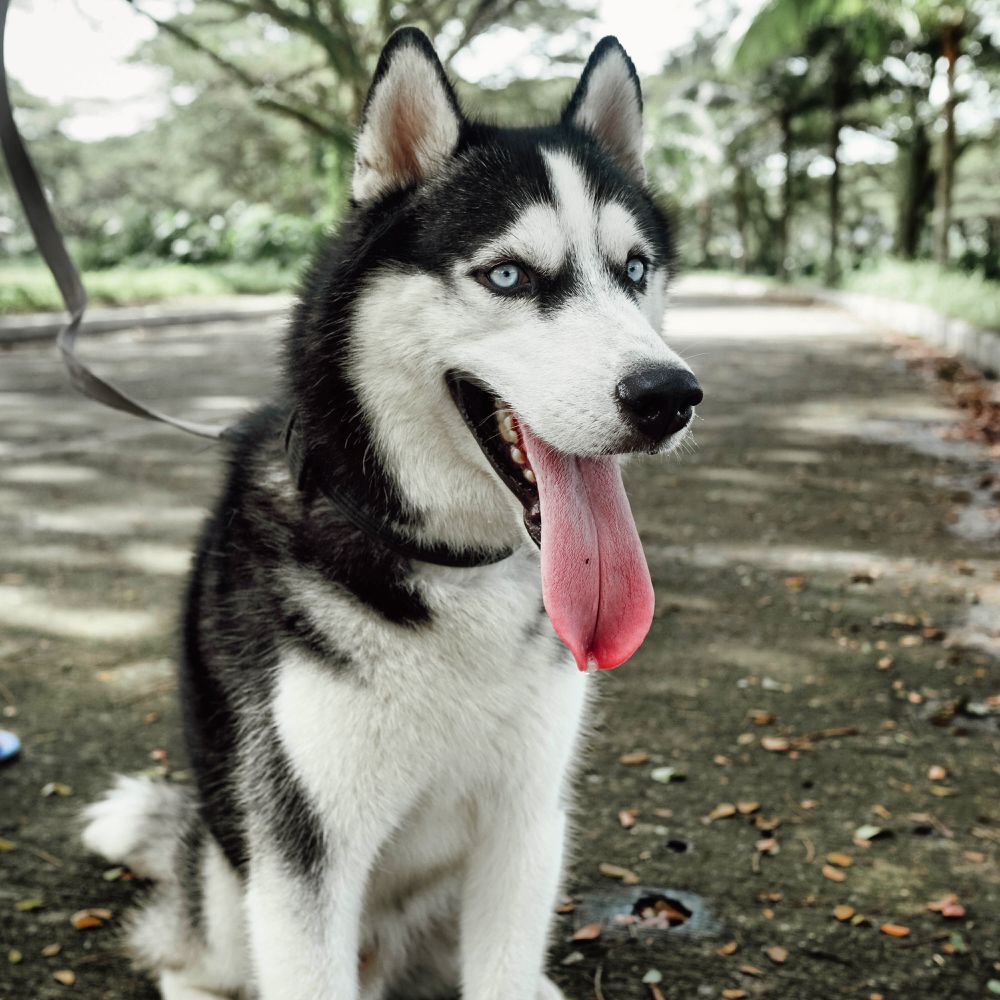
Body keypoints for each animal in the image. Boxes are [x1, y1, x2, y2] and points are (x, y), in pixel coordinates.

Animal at [80, 25, 704, 1000]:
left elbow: (505, 966)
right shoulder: (304, 859)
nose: (669, 395)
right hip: (229, 880)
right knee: (186, 958)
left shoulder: (527, 823)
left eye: (635, 270)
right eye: (508, 275)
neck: (449, 566)